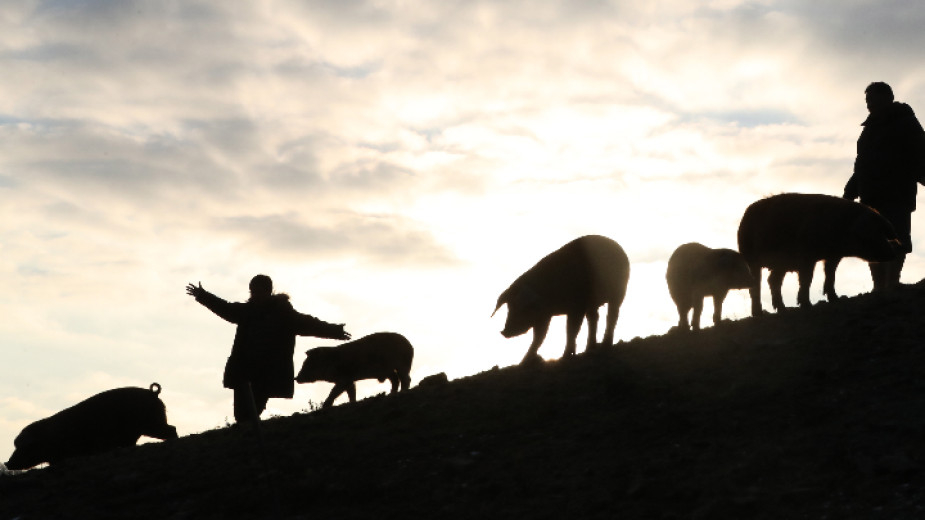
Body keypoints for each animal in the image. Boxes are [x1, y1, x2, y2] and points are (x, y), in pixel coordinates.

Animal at [6, 382, 178, 472]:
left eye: (23, 447)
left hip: (152, 424)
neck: (47, 438)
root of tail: (153, 393)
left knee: (172, 429)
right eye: (16, 446)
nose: (7, 463)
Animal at [490, 234, 628, 364]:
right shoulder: (544, 316)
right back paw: (590, 348)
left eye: (525, 309)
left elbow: (571, 330)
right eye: (510, 306)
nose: (505, 331)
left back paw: (605, 344)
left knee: (612, 315)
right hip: (593, 303)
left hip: (619, 292)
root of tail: (618, 247)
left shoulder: (577, 306)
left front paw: (566, 356)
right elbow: (539, 338)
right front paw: (523, 362)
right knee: (594, 318)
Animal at [732, 193, 900, 314]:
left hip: (781, 264)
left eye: (882, 233)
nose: (893, 252)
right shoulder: (807, 256)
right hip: (751, 257)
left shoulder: (833, 256)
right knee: (756, 285)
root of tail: (746, 215)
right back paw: (759, 313)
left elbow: (830, 275)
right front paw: (807, 305)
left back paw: (783, 309)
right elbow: (807, 279)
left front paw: (835, 298)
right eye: (873, 234)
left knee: (773, 281)